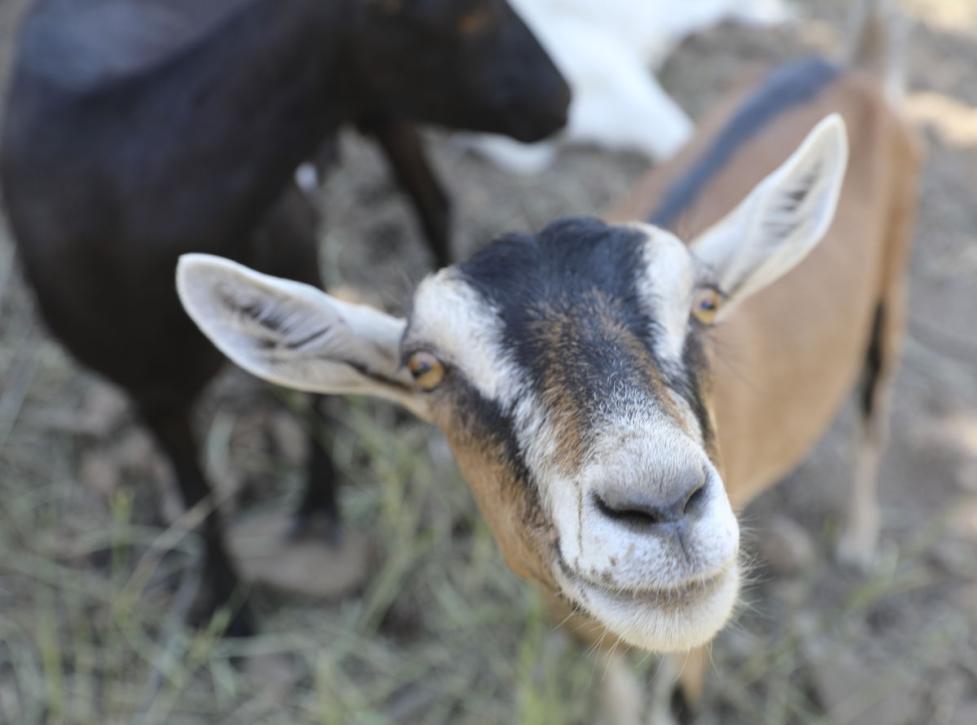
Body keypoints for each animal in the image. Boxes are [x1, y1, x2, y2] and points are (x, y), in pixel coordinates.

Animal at [0, 0, 568, 632]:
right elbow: (196, 490)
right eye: (467, 15)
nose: (560, 100)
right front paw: (228, 608)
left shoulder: (296, 251)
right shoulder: (146, 385)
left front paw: (319, 514)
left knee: (432, 202)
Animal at [173, 0, 916, 700]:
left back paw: (858, 541)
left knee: (875, 410)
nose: (662, 504)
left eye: (703, 305)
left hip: (888, 295)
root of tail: (848, 67)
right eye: (424, 368)